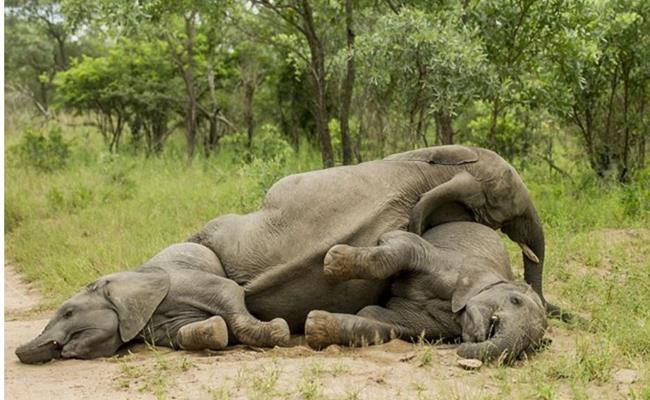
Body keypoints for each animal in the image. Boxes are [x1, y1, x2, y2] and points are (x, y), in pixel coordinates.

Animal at [15, 242, 290, 364]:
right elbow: (183, 334)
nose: (17, 353)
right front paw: (215, 330)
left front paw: (279, 328)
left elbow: (229, 290)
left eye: (69, 313)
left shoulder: (181, 281)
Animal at [304, 222, 548, 362]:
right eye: (515, 300)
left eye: (526, 349)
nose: (460, 347)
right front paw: (333, 260)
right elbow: (404, 244)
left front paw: (316, 327)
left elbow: (382, 324)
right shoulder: (450, 261)